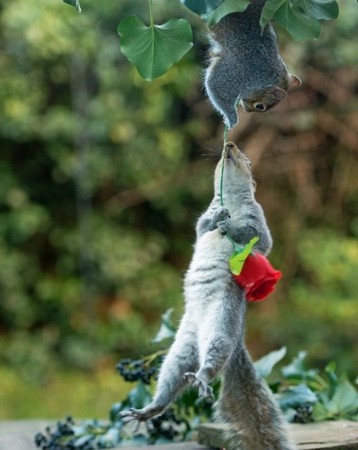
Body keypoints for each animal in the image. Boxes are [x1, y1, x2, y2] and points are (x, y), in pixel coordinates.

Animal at [120, 142, 296, 450]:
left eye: (248, 160)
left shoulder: (259, 223)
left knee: (212, 359)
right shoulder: (203, 219)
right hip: (183, 346)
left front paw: (232, 228)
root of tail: (237, 342)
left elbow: (259, 241)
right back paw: (150, 409)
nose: (230, 145)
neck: (233, 203)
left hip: (221, 326)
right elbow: (202, 227)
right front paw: (218, 219)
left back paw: (202, 377)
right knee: (173, 378)